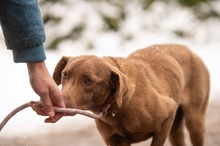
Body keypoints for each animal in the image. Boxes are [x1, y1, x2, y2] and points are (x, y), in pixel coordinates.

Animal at [52, 44, 210, 145]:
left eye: (88, 80)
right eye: (64, 74)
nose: (58, 101)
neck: (117, 110)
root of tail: (189, 50)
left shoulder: (167, 116)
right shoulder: (114, 141)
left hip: (194, 122)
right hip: (175, 131)